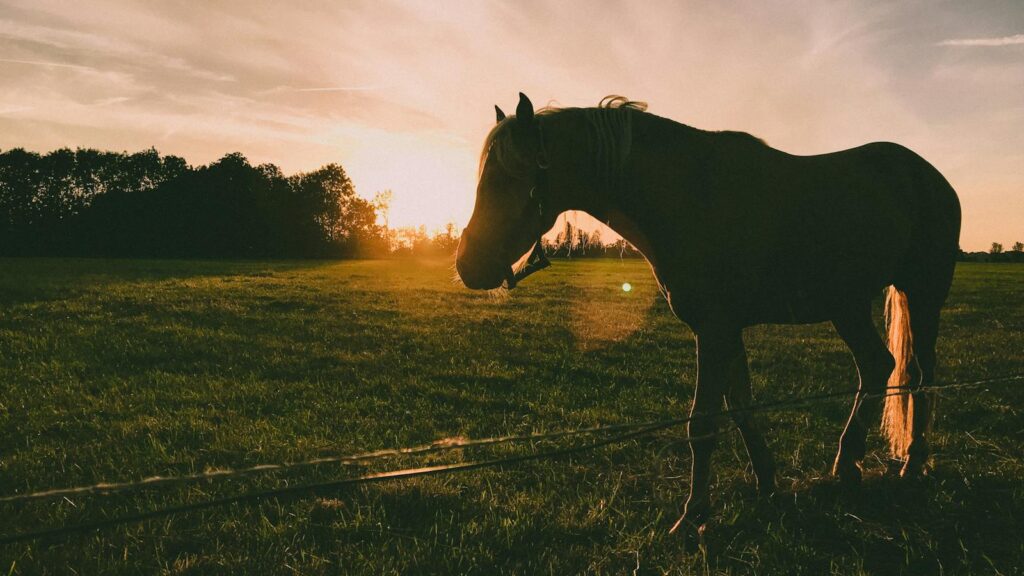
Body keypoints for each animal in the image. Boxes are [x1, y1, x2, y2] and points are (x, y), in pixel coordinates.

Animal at [455, 93, 961, 533]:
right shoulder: (725, 330)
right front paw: (767, 482)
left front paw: (694, 515)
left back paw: (912, 462)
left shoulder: (713, 330)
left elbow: (702, 423)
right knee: (877, 366)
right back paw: (848, 463)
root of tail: (930, 176)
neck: (689, 195)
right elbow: (740, 408)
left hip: (922, 294)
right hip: (848, 305)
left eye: (506, 177)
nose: (467, 265)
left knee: (920, 375)